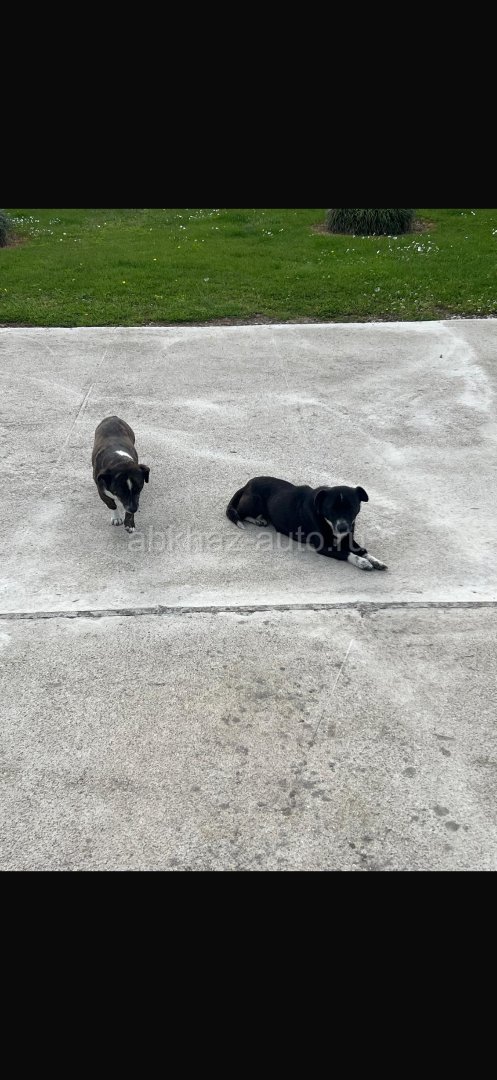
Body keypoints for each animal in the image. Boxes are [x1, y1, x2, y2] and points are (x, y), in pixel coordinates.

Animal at [226, 477, 387, 570]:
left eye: (351, 509)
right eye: (331, 509)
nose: (342, 528)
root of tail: (248, 483)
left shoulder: (349, 539)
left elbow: (362, 550)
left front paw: (375, 561)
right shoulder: (324, 547)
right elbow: (346, 553)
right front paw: (362, 562)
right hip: (255, 501)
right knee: (240, 513)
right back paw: (256, 519)